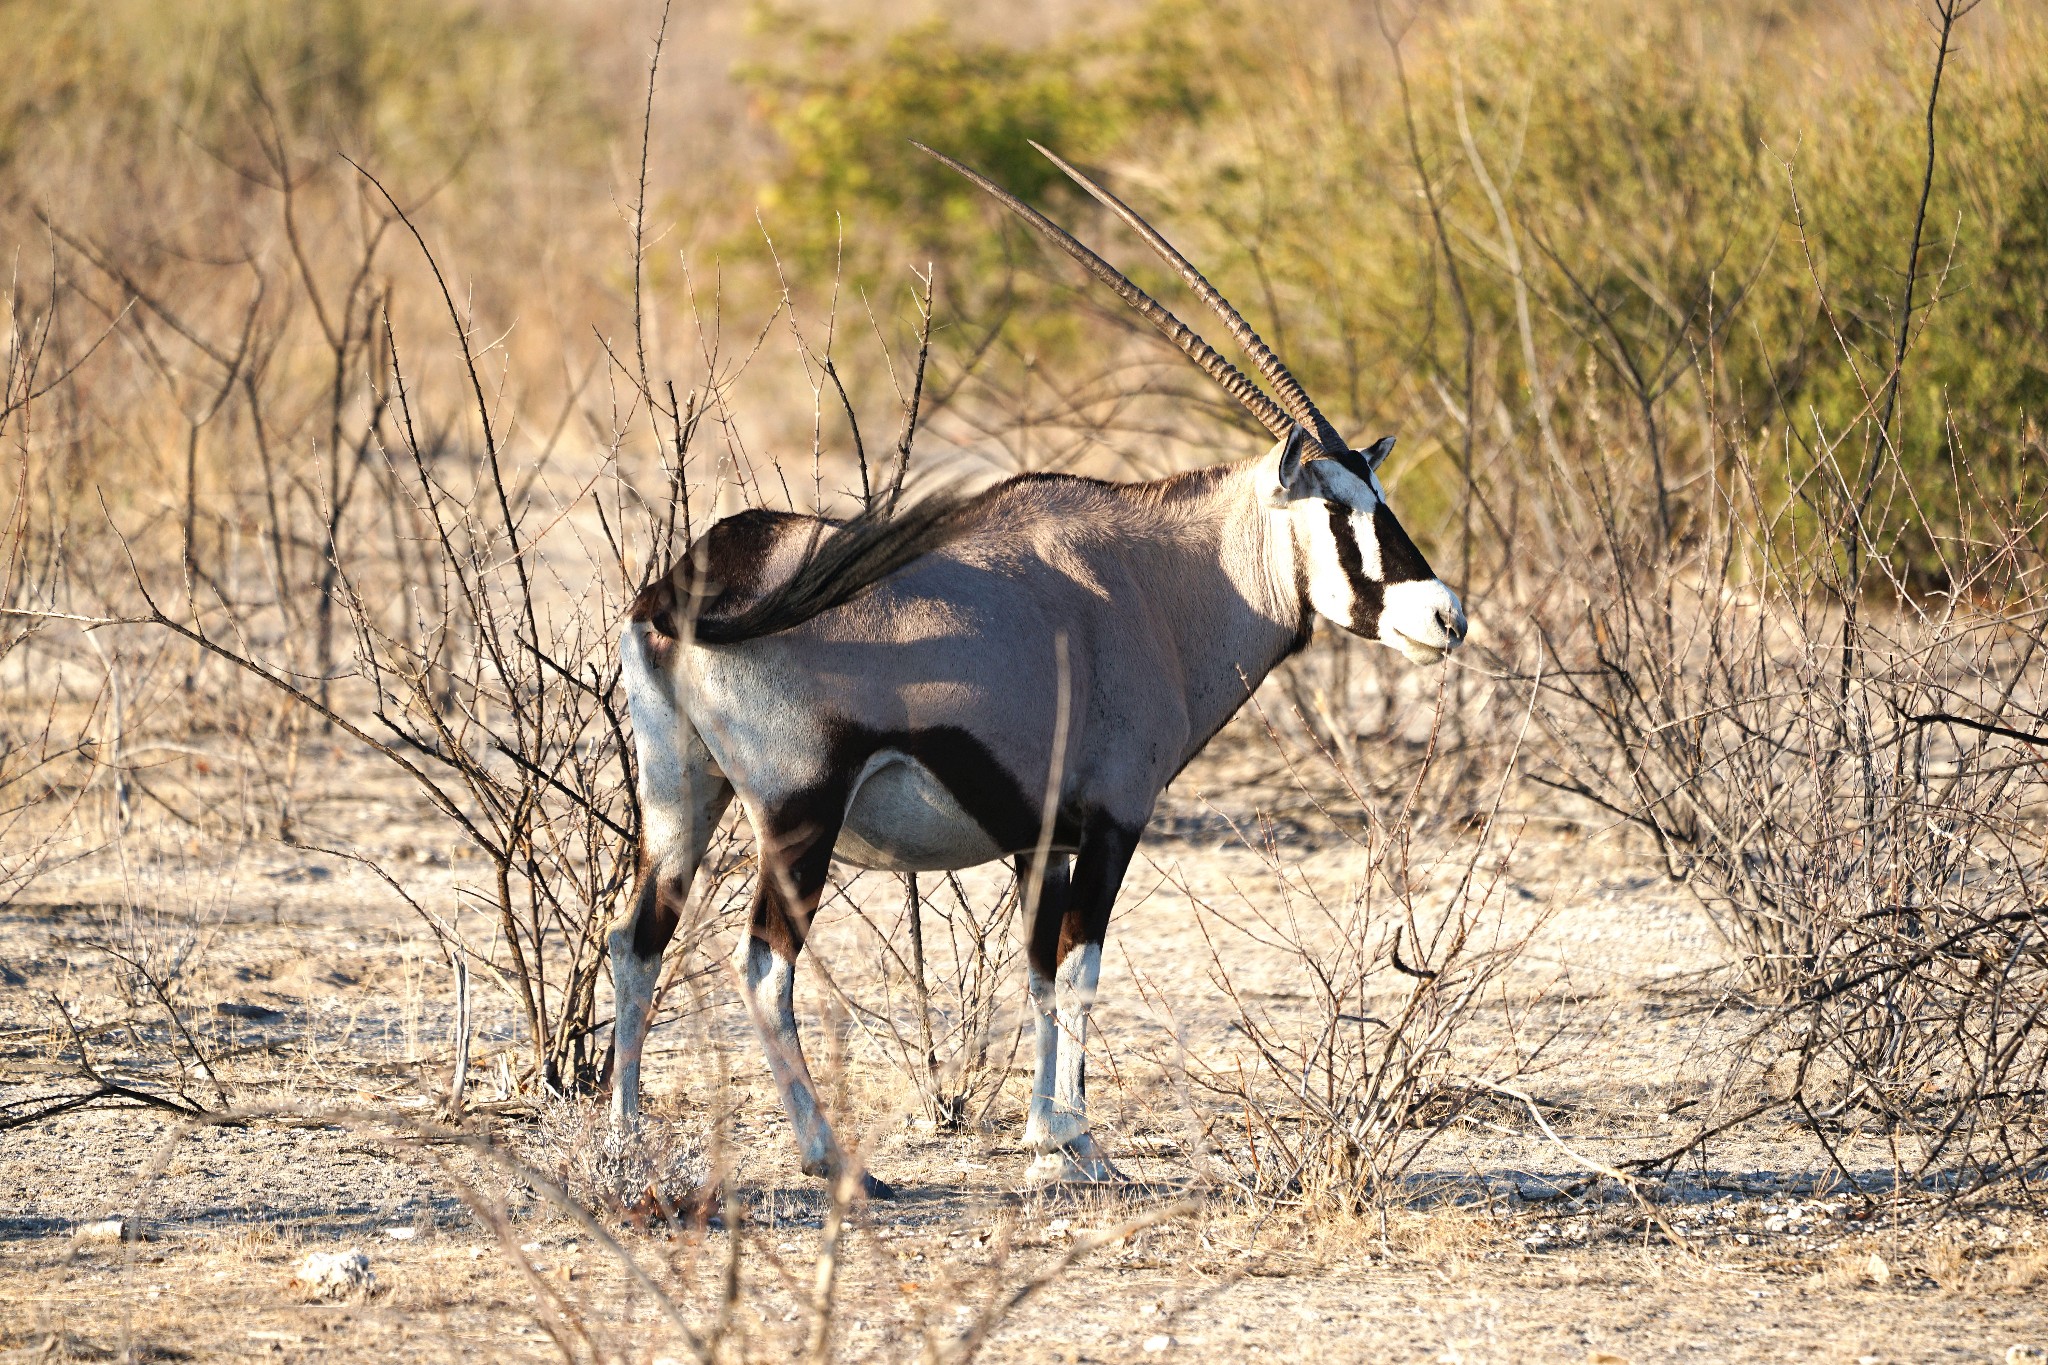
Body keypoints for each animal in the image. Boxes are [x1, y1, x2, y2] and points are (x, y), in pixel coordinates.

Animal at [598, 147, 1466, 1195]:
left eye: (1379, 494)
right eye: (1338, 510)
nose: (1446, 615)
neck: (1159, 578)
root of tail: (692, 582)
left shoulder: (1038, 835)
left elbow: (1041, 968)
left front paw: (1046, 1129)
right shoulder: (1115, 816)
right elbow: (1083, 968)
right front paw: (1075, 1138)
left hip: (681, 796)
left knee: (636, 941)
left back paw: (624, 1140)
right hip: (798, 814)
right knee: (763, 967)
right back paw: (833, 1160)